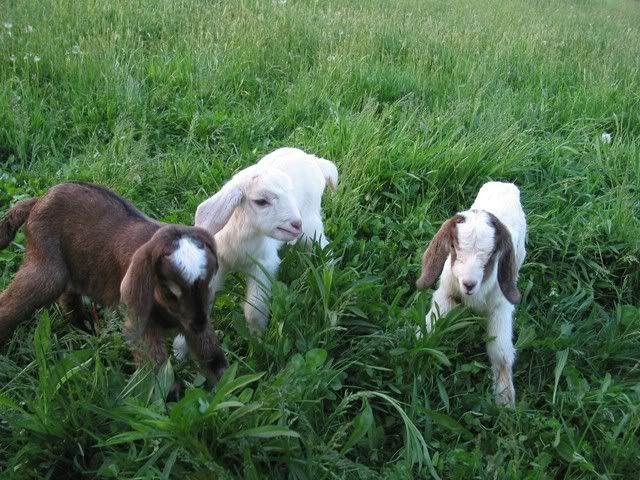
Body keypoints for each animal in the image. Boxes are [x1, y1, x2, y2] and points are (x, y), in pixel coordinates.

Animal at [0, 182, 228, 384]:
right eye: (169, 292)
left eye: (209, 284)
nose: (198, 323)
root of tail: (38, 200)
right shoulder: (139, 324)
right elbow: (157, 370)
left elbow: (212, 357)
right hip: (46, 267)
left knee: (68, 293)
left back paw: (83, 326)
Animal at [415, 181, 527, 405]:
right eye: (454, 247)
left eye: (492, 254)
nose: (468, 284)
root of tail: (504, 184)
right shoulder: (446, 293)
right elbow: (431, 324)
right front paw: (417, 348)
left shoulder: (501, 307)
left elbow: (500, 351)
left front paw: (504, 398)